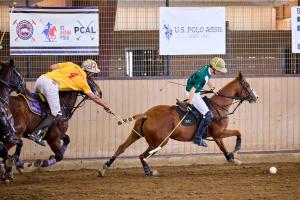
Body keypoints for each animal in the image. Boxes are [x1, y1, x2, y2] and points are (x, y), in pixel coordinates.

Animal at [99, 72, 258, 176]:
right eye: (247, 85)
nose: (256, 97)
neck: (218, 106)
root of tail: (147, 115)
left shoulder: (217, 135)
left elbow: (224, 148)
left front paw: (233, 159)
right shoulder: (219, 132)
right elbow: (238, 133)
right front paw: (236, 151)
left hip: (136, 134)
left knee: (122, 148)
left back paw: (104, 168)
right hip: (159, 142)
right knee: (142, 155)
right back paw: (149, 172)